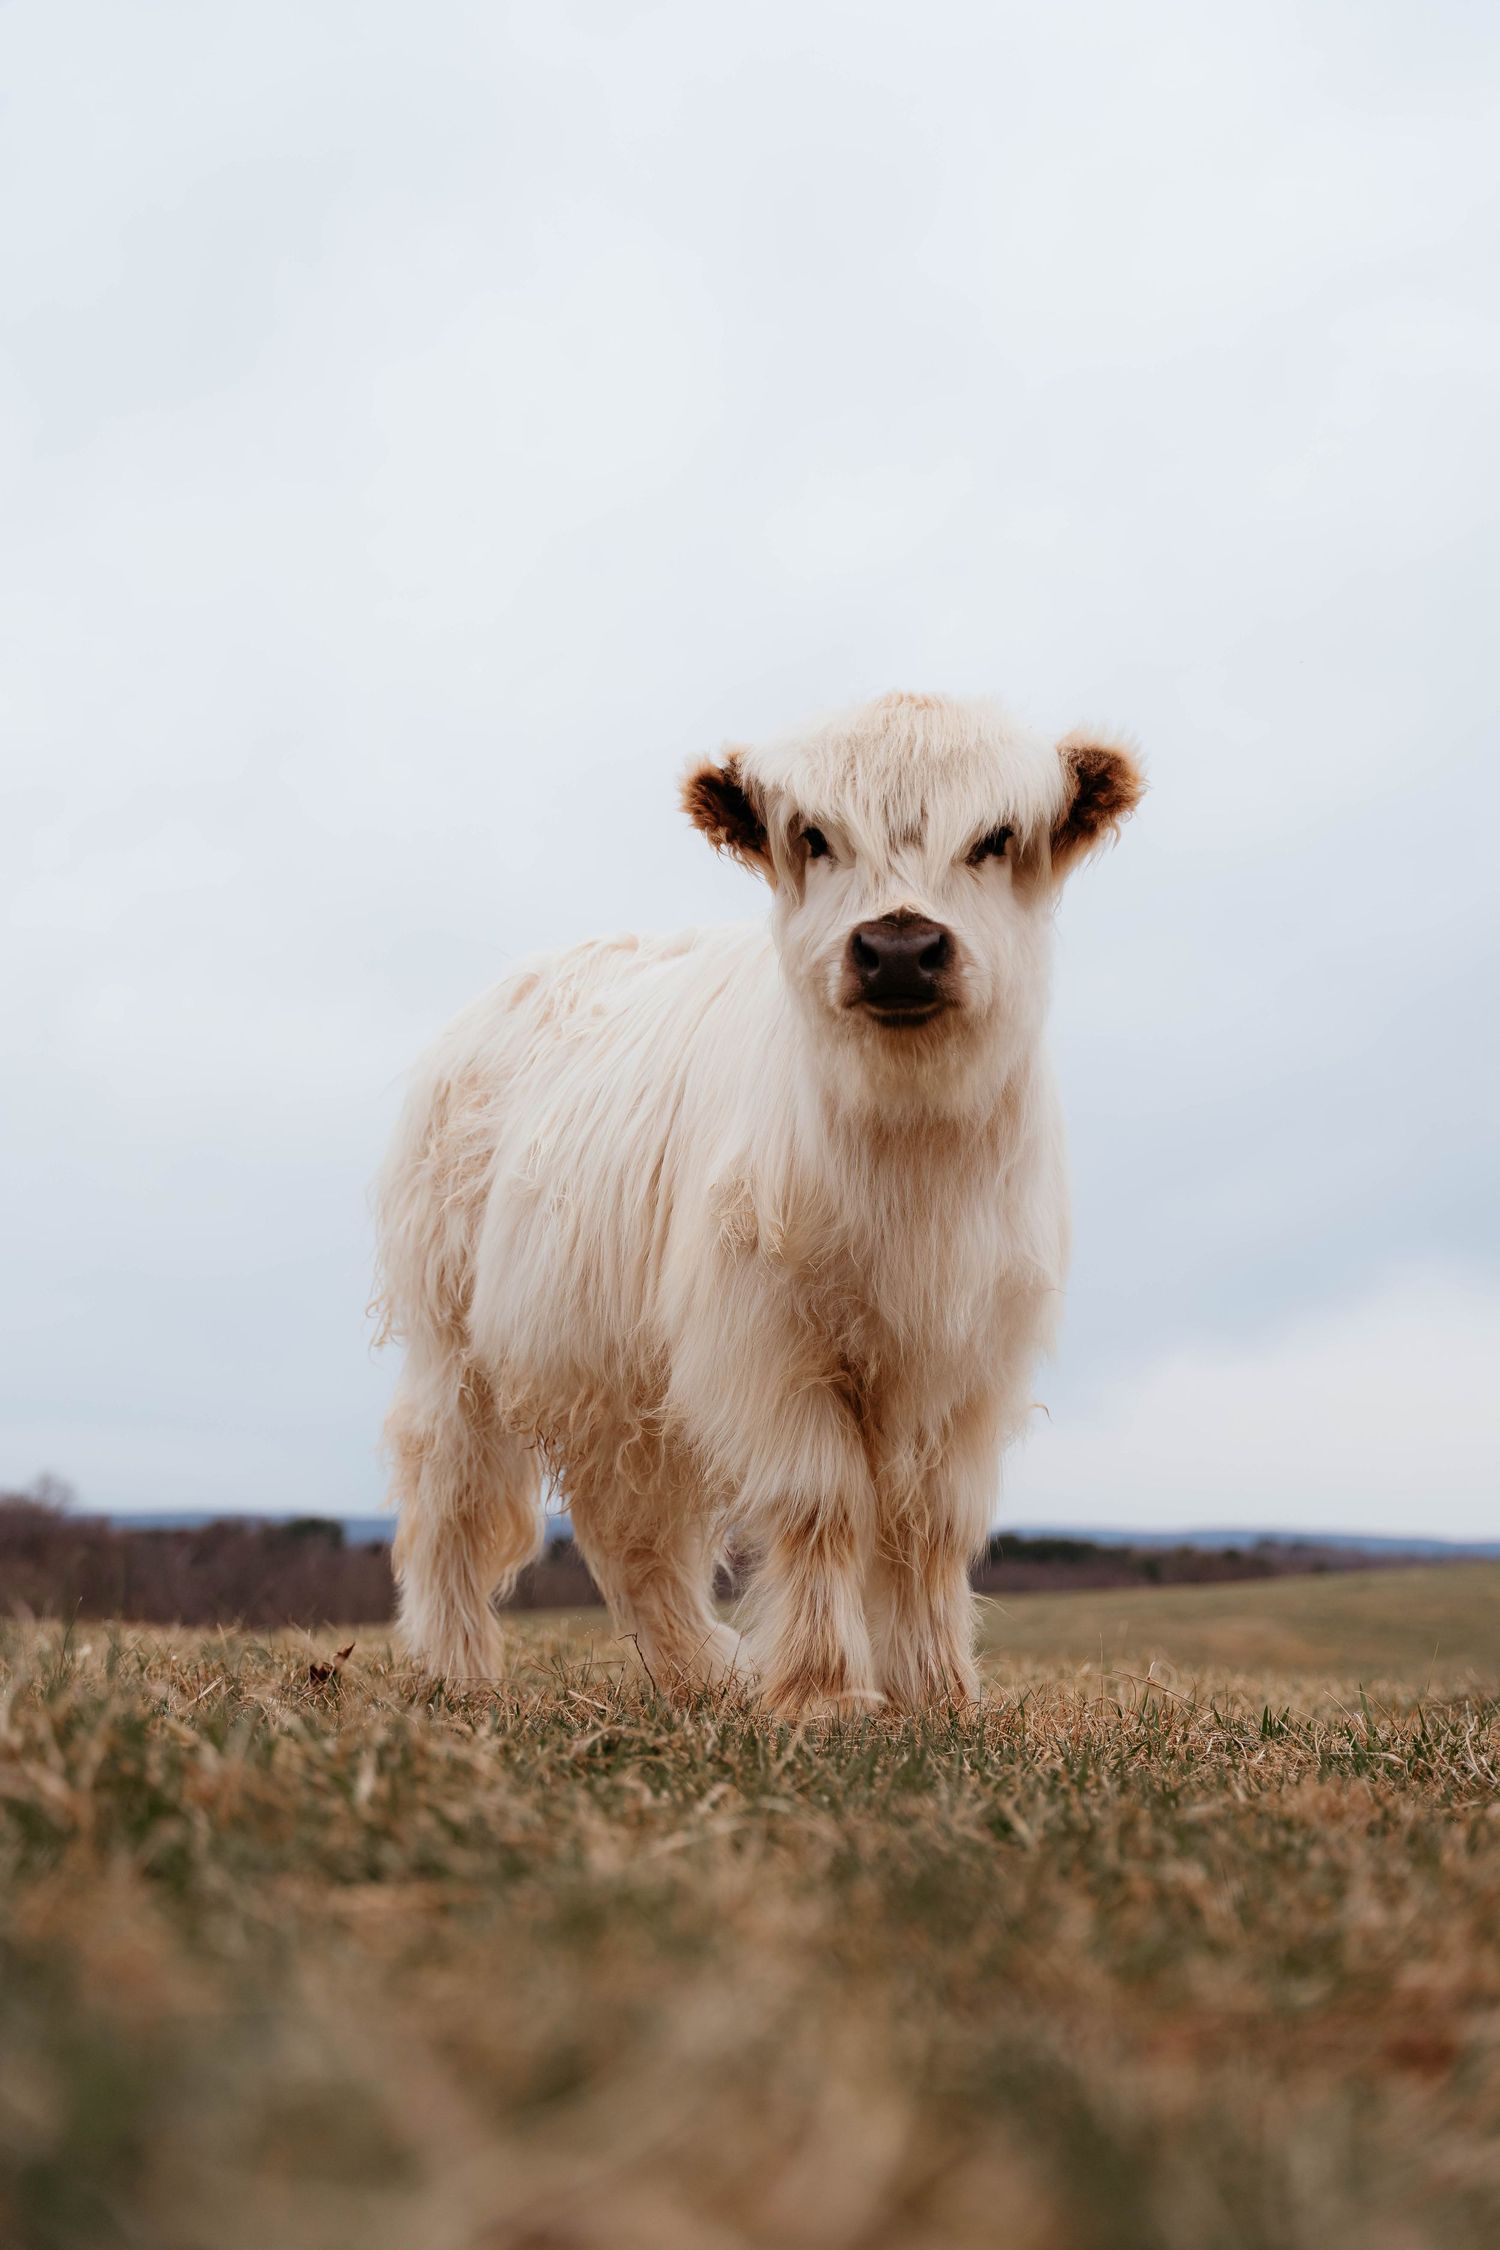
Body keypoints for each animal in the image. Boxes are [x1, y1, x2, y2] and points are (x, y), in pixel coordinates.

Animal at [374, 691, 1142, 1715]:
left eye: (994, 838)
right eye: (814, 836)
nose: (900, 949)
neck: (909, 1174)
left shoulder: (971, 1357)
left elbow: (932, 1526)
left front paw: (939, 1693)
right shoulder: (769, 1342)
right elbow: (823, 1507)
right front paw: (823, 1692)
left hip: (620, 1371)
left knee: (632, 1525)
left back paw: (699, 1671)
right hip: (454, 1347)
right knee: (452, 1497)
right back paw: (458, 1671)